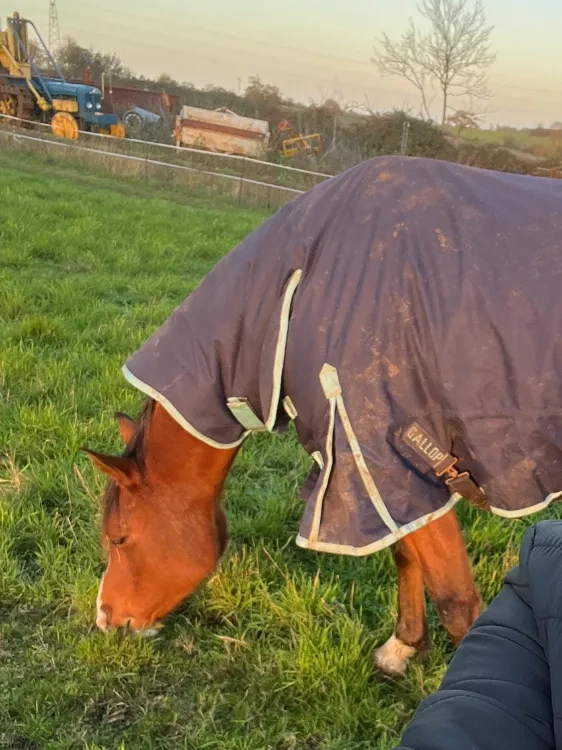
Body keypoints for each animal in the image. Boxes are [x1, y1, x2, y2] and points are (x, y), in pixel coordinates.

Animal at [85, 155, 562, 675]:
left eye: (120, 539)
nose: (107, 619)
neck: (301, 288)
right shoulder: (380, 479)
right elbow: (404, 555)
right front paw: (402, 647)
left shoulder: (388, 463)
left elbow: (459, 604)